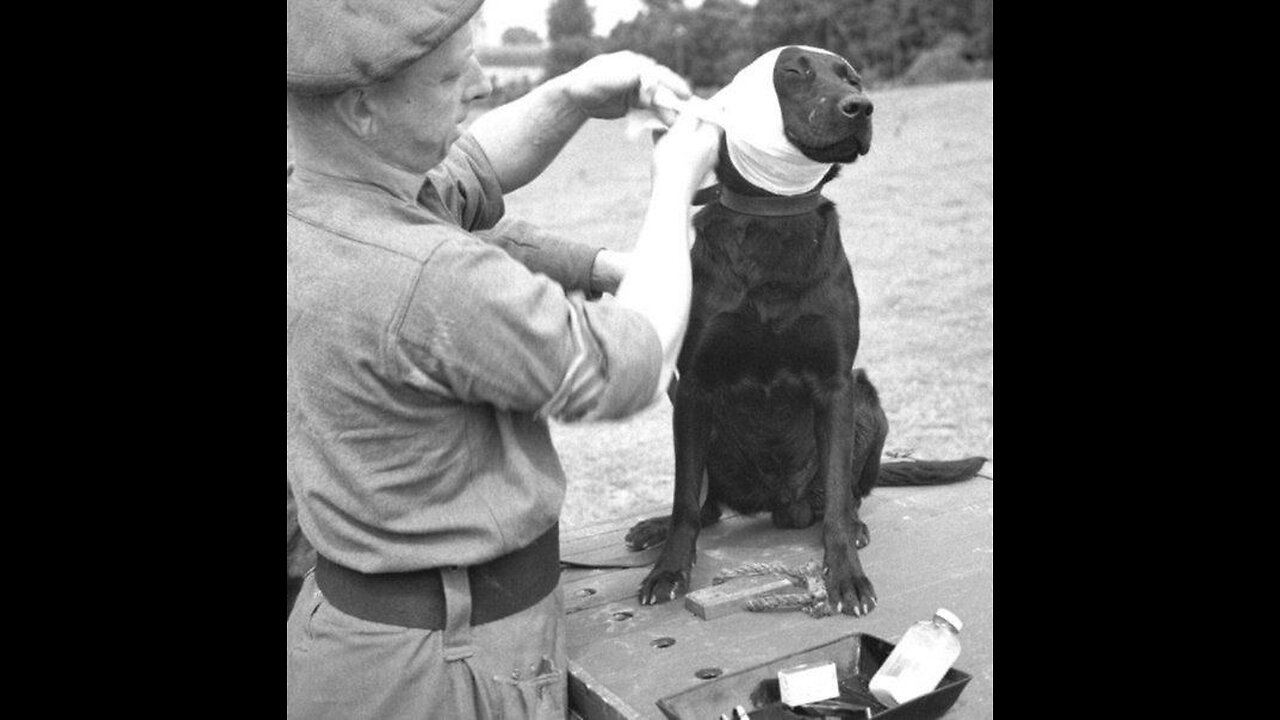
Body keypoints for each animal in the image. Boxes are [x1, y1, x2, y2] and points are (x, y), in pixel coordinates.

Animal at [624, 47, 983, 614]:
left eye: (852, 78)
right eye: (793, 73)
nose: (862, 106)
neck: (775, 219)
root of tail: (777, 504)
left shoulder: (835, 383)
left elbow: (836, 497)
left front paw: (846, 576)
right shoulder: (695, 384)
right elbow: (685, 501)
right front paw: (670, 569)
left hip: (866, 397)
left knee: (845, 496)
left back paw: (854, 525)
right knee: (707, 505)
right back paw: (656, 528)